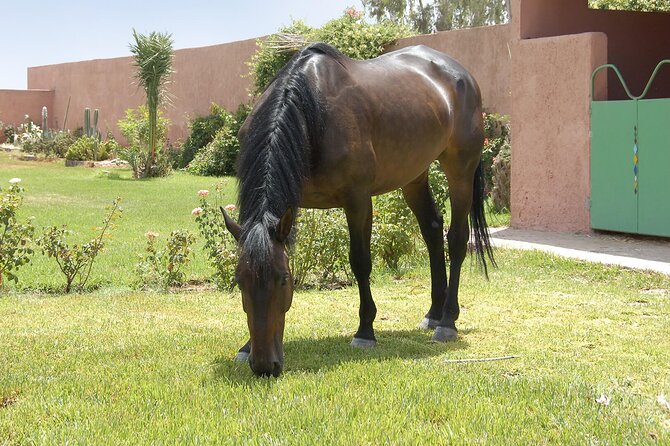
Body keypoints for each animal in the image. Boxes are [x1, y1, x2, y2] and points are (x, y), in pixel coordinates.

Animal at [222, 42, 495, 377]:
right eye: (239, 280)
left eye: (283, 279)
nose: (264, 365)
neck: (312, 111)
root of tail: (461, 74)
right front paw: (245, 347)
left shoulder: (358, 200)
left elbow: (360, 262)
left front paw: (365, 331)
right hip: (413, 175)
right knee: (432, 230)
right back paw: (433, 313)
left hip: (460, 171)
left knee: (456, 239)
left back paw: (446, 322)